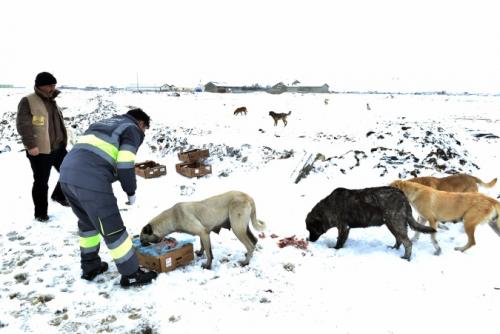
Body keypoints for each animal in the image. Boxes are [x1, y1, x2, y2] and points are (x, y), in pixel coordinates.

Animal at [302, 187, 436, 260]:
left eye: (311, 229)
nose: (310, 240)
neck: (329, 207)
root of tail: (403, 196)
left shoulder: (343, 227)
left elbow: (339, 241)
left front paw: (335, 249)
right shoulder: (345, 228)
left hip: (395, 222)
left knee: (407, 243)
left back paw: (406, 258)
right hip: (392, 224)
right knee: (399, 239)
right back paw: (394, 249)